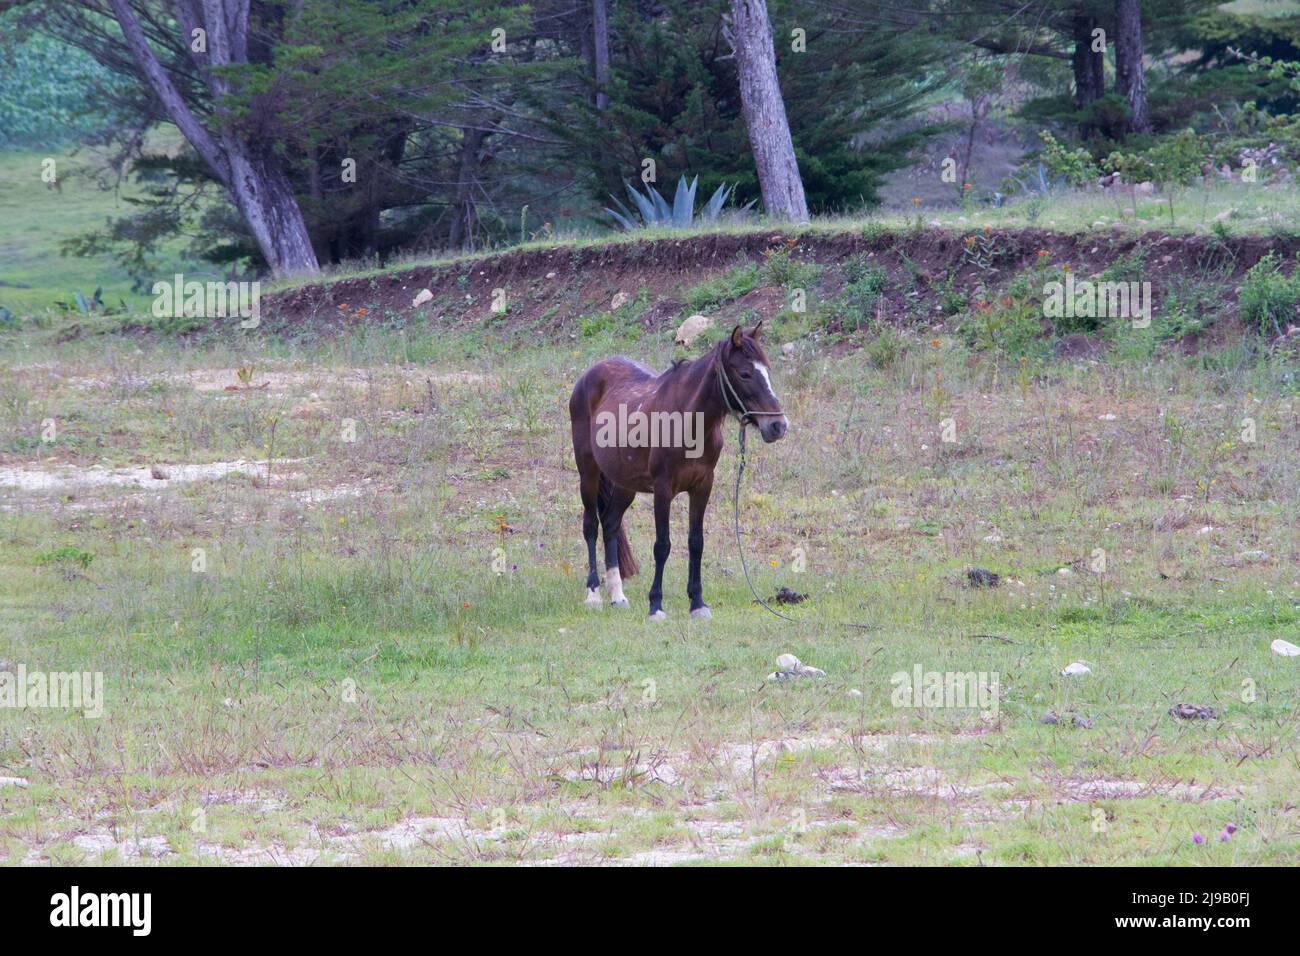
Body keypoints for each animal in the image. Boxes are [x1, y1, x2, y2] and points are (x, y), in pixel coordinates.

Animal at [568, 323, 788, 620]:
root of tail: (588, 376)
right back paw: (593, 594)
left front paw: (697, 604)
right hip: (588, 473)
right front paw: (655, 606)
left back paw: (617, 596)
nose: (778, 426)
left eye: (768, 370)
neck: (687, 419)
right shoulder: (663, 489)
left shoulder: (703, 486)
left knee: (611, 524)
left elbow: (696, 543)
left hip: (625, 484)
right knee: (591, 525)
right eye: (745, 373)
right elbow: (662, 546)